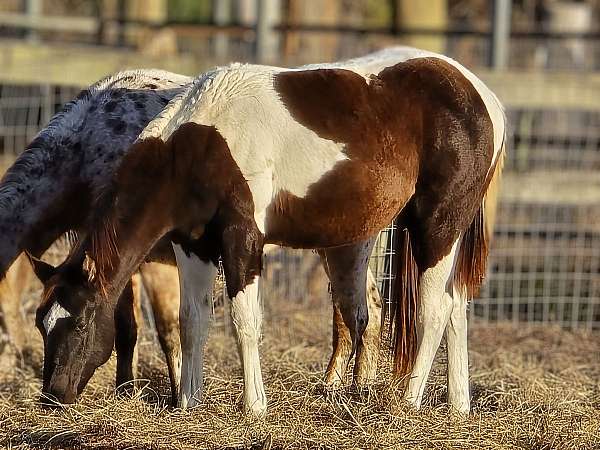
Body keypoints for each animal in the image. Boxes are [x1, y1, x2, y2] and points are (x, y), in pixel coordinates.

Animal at [34, 47, 506, 416]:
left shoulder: (242, 239)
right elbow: (192, 319)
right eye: (42, 324)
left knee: (435, 309)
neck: (198, 143)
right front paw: (187, 402)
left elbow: (244, 320)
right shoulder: (193, 245)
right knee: (457, 306)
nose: (53, 396)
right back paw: (458, 404)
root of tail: (483, 97)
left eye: (78, 323)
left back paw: (408, 401)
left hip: (438, 227)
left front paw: (253, 406)